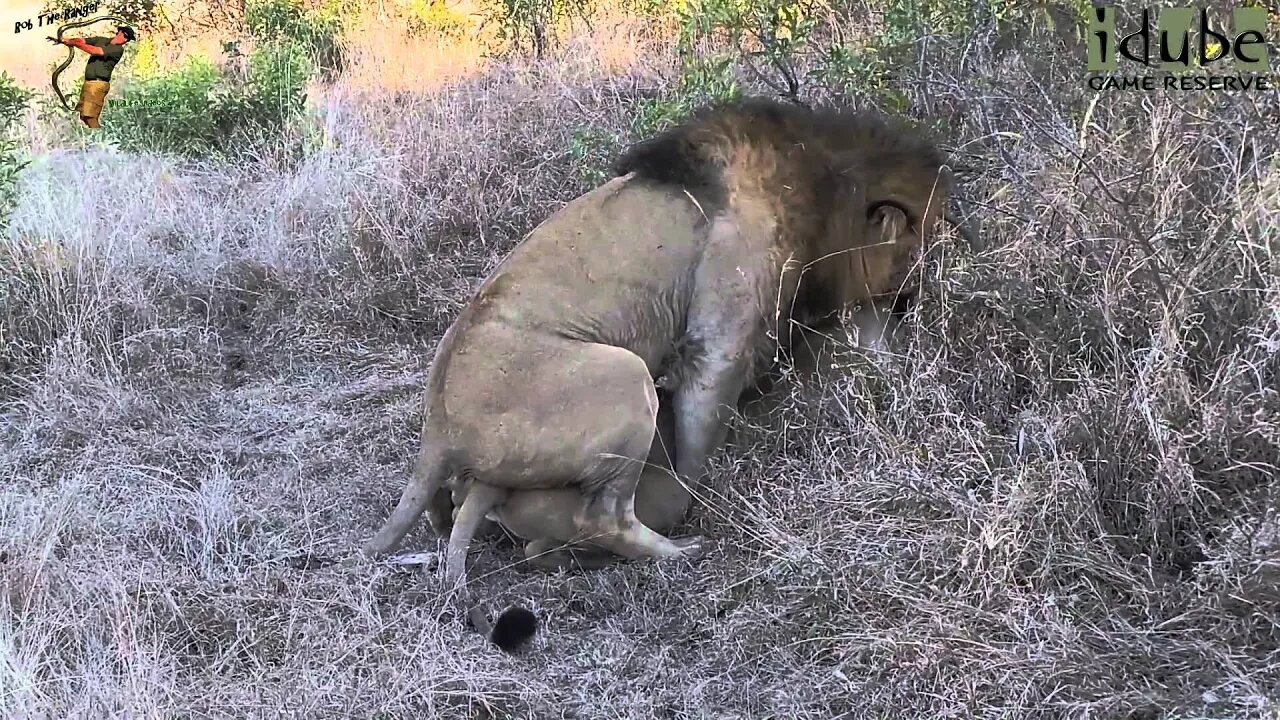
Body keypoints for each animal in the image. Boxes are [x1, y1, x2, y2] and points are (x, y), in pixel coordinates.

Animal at [360, 95, 952, 650]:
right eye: (917, 250)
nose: (919, 304)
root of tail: (437, 432)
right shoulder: (721, 336)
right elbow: (697, 437)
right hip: (625, 380)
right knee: (603, 517)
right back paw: (676, 549)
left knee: (447, 512)